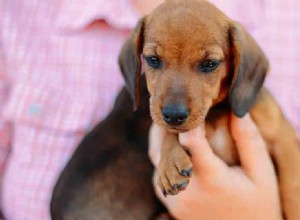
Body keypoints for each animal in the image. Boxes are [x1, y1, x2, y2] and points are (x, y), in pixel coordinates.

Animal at [119, 0, 300, 218]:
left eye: (210, 64)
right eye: (153, 60)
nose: (173, 115)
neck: (216, 113)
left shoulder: (284, 141)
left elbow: (292, 189)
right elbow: (170, 134)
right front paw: (170, 161)